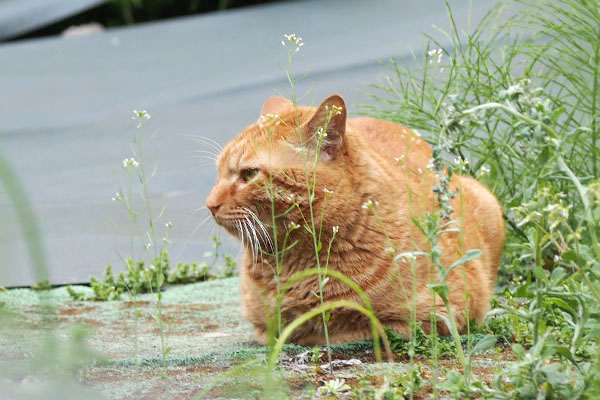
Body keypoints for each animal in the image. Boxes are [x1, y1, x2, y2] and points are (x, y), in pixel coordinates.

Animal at [204, 94, 504, 346]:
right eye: (218, 173)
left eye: (249, 174)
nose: (210, 204)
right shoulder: (263, 328)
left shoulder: (441, 315)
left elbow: (341, 328)